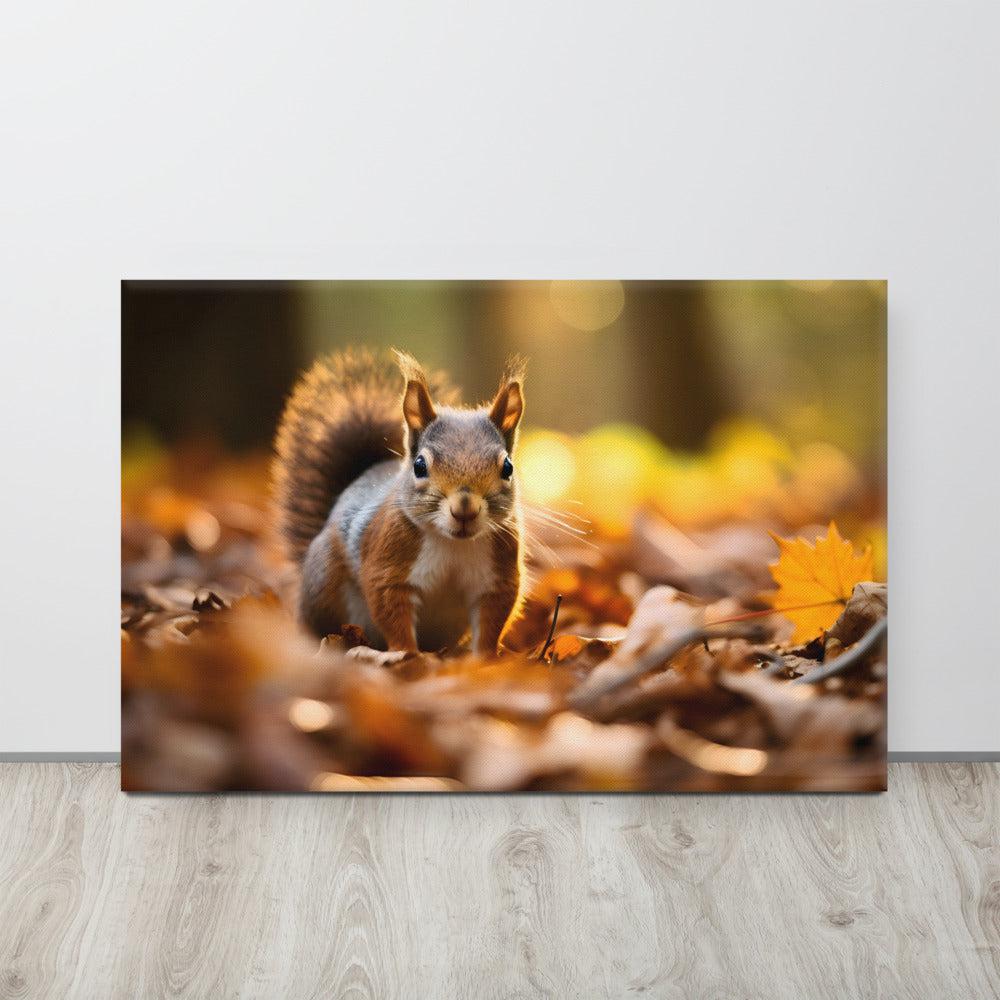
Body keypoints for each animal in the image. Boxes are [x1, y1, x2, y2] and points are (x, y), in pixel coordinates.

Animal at [272, 348, 526, 655]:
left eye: (508, 467)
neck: (453, 544)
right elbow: (392, 613)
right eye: (419, 466)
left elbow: (492, 621)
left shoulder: (496, 578)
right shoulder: (388, 565)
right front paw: (407, 655)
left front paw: (485, 659)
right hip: (322, 584)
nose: (464, 508)